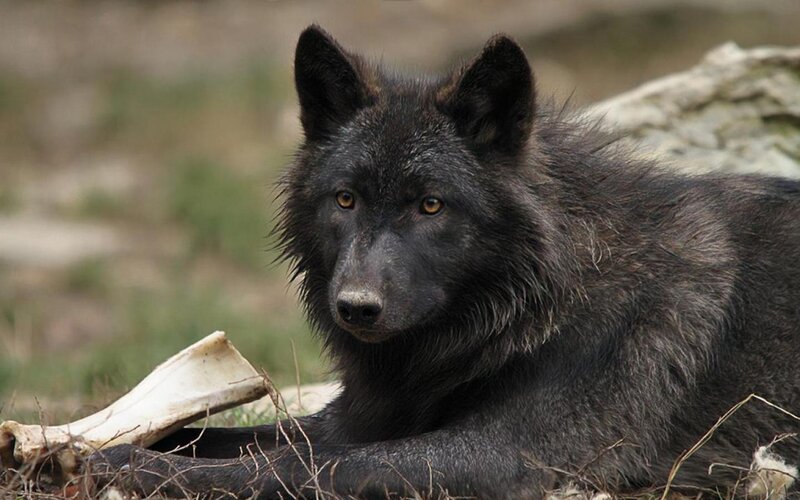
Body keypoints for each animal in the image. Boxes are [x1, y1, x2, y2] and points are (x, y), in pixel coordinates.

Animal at [90, 26, 800, 498]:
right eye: (345, 199)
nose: (356, 308)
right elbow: (230, 437)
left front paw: (130, 468)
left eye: (430, 205)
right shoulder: (360, 416)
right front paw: (86, 446)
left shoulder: (514, 455)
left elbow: (303, 466)